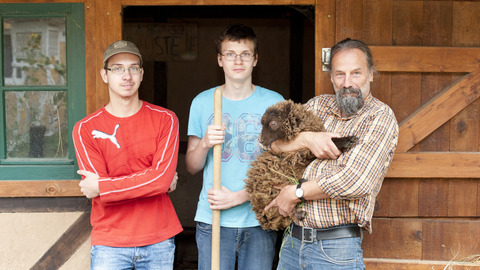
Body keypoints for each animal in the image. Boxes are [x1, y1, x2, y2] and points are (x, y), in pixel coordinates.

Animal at [244, 100, 356, 231]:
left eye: (273, 123)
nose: (261, 141)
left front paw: (349, 139)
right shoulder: (301, 153)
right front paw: (348, 140)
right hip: (270, 195)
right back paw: (299, 212)